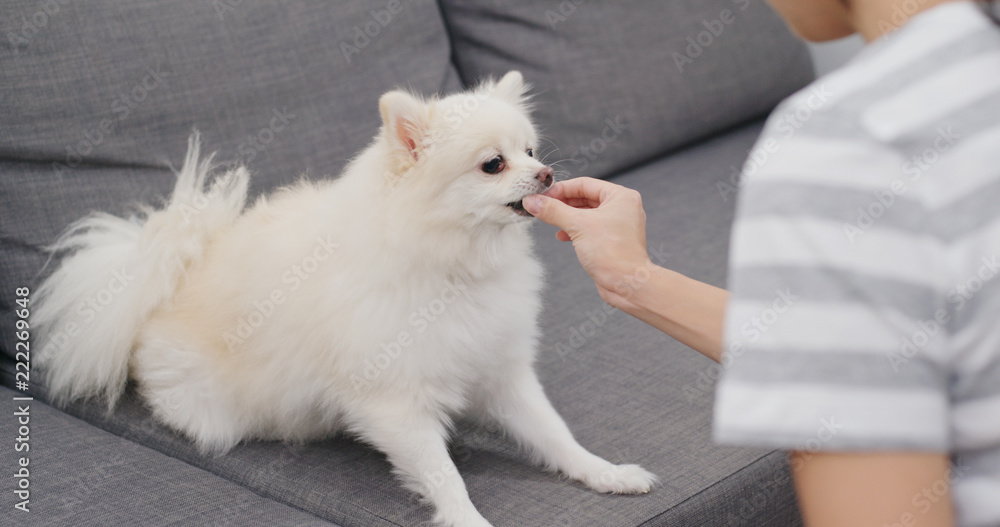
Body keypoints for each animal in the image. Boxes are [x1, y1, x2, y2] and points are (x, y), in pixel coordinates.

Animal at [33, 72, 656, 524]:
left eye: (530, 150)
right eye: (493, 164)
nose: (547, 173)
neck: (454, 265)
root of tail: (163, 287)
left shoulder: (500, 372)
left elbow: (555, 435)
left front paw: (605, 473)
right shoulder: (396, 402)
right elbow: (444, 475)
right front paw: (467, 519)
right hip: (213, 409)